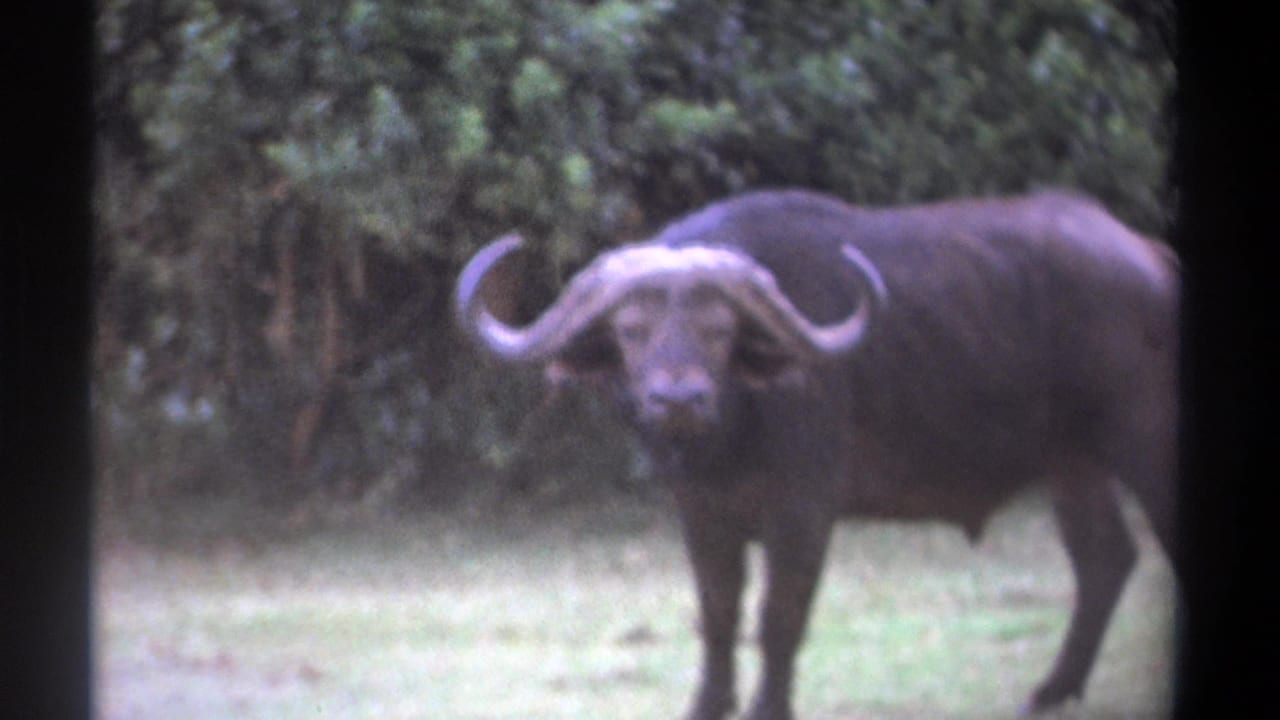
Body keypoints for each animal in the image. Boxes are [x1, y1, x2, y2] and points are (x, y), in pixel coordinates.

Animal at [455, 189, 1179, 719]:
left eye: (720, 330)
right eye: (631, 330)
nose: (679, 399)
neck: (733, 433)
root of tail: (1150, 257)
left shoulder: (802, 511)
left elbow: (779, 616)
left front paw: (767, 708)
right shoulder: (701, 512)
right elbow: (718, 613)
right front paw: (708, 704)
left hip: (1143, 441)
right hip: (1073, 462)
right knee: (1105, 558)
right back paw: (1050, 690)